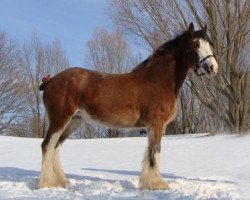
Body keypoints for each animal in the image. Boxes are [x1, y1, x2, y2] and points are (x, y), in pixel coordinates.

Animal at [38, 22, 218, 190]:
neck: (158, 80)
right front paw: (156, 184)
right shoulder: (156, 124)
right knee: (47, 145)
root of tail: (50, 81)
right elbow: (155, 152)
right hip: (60, 119)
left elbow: (151, 152)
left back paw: (60, 181)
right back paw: (47, 183)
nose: (212, 67)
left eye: (209, 44)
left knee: (56, 147)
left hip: (74, 121)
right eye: (196, 44)